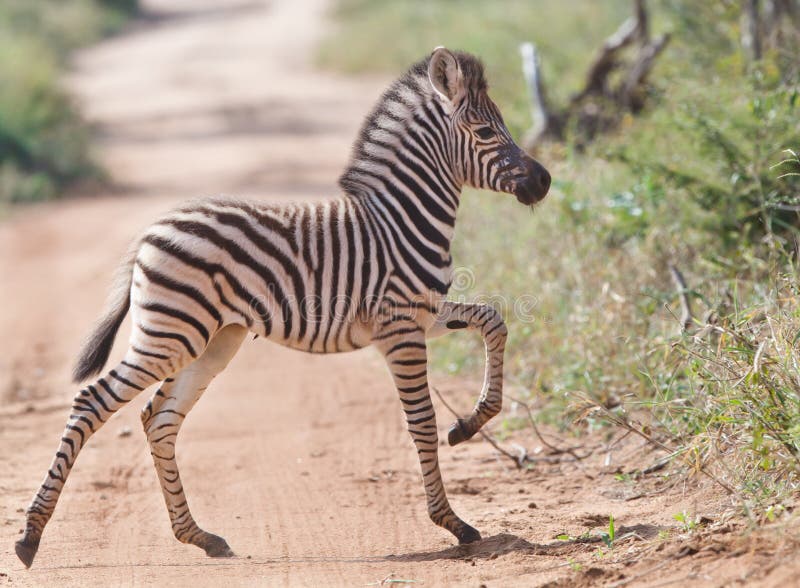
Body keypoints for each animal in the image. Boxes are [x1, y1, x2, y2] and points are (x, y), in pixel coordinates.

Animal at [15, 46, 552, 564]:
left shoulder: (423, 314)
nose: (545, 181)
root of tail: (151, 230)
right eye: (485, 131)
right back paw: (29, 538)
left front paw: (469, 423)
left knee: (159, 419)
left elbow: (494, 321)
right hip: (171, 334)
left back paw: (200, 537)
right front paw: (453, 523)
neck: (401, 220)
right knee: (91, 402)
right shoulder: (399, 327)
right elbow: (421, 421)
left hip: (211, 340)